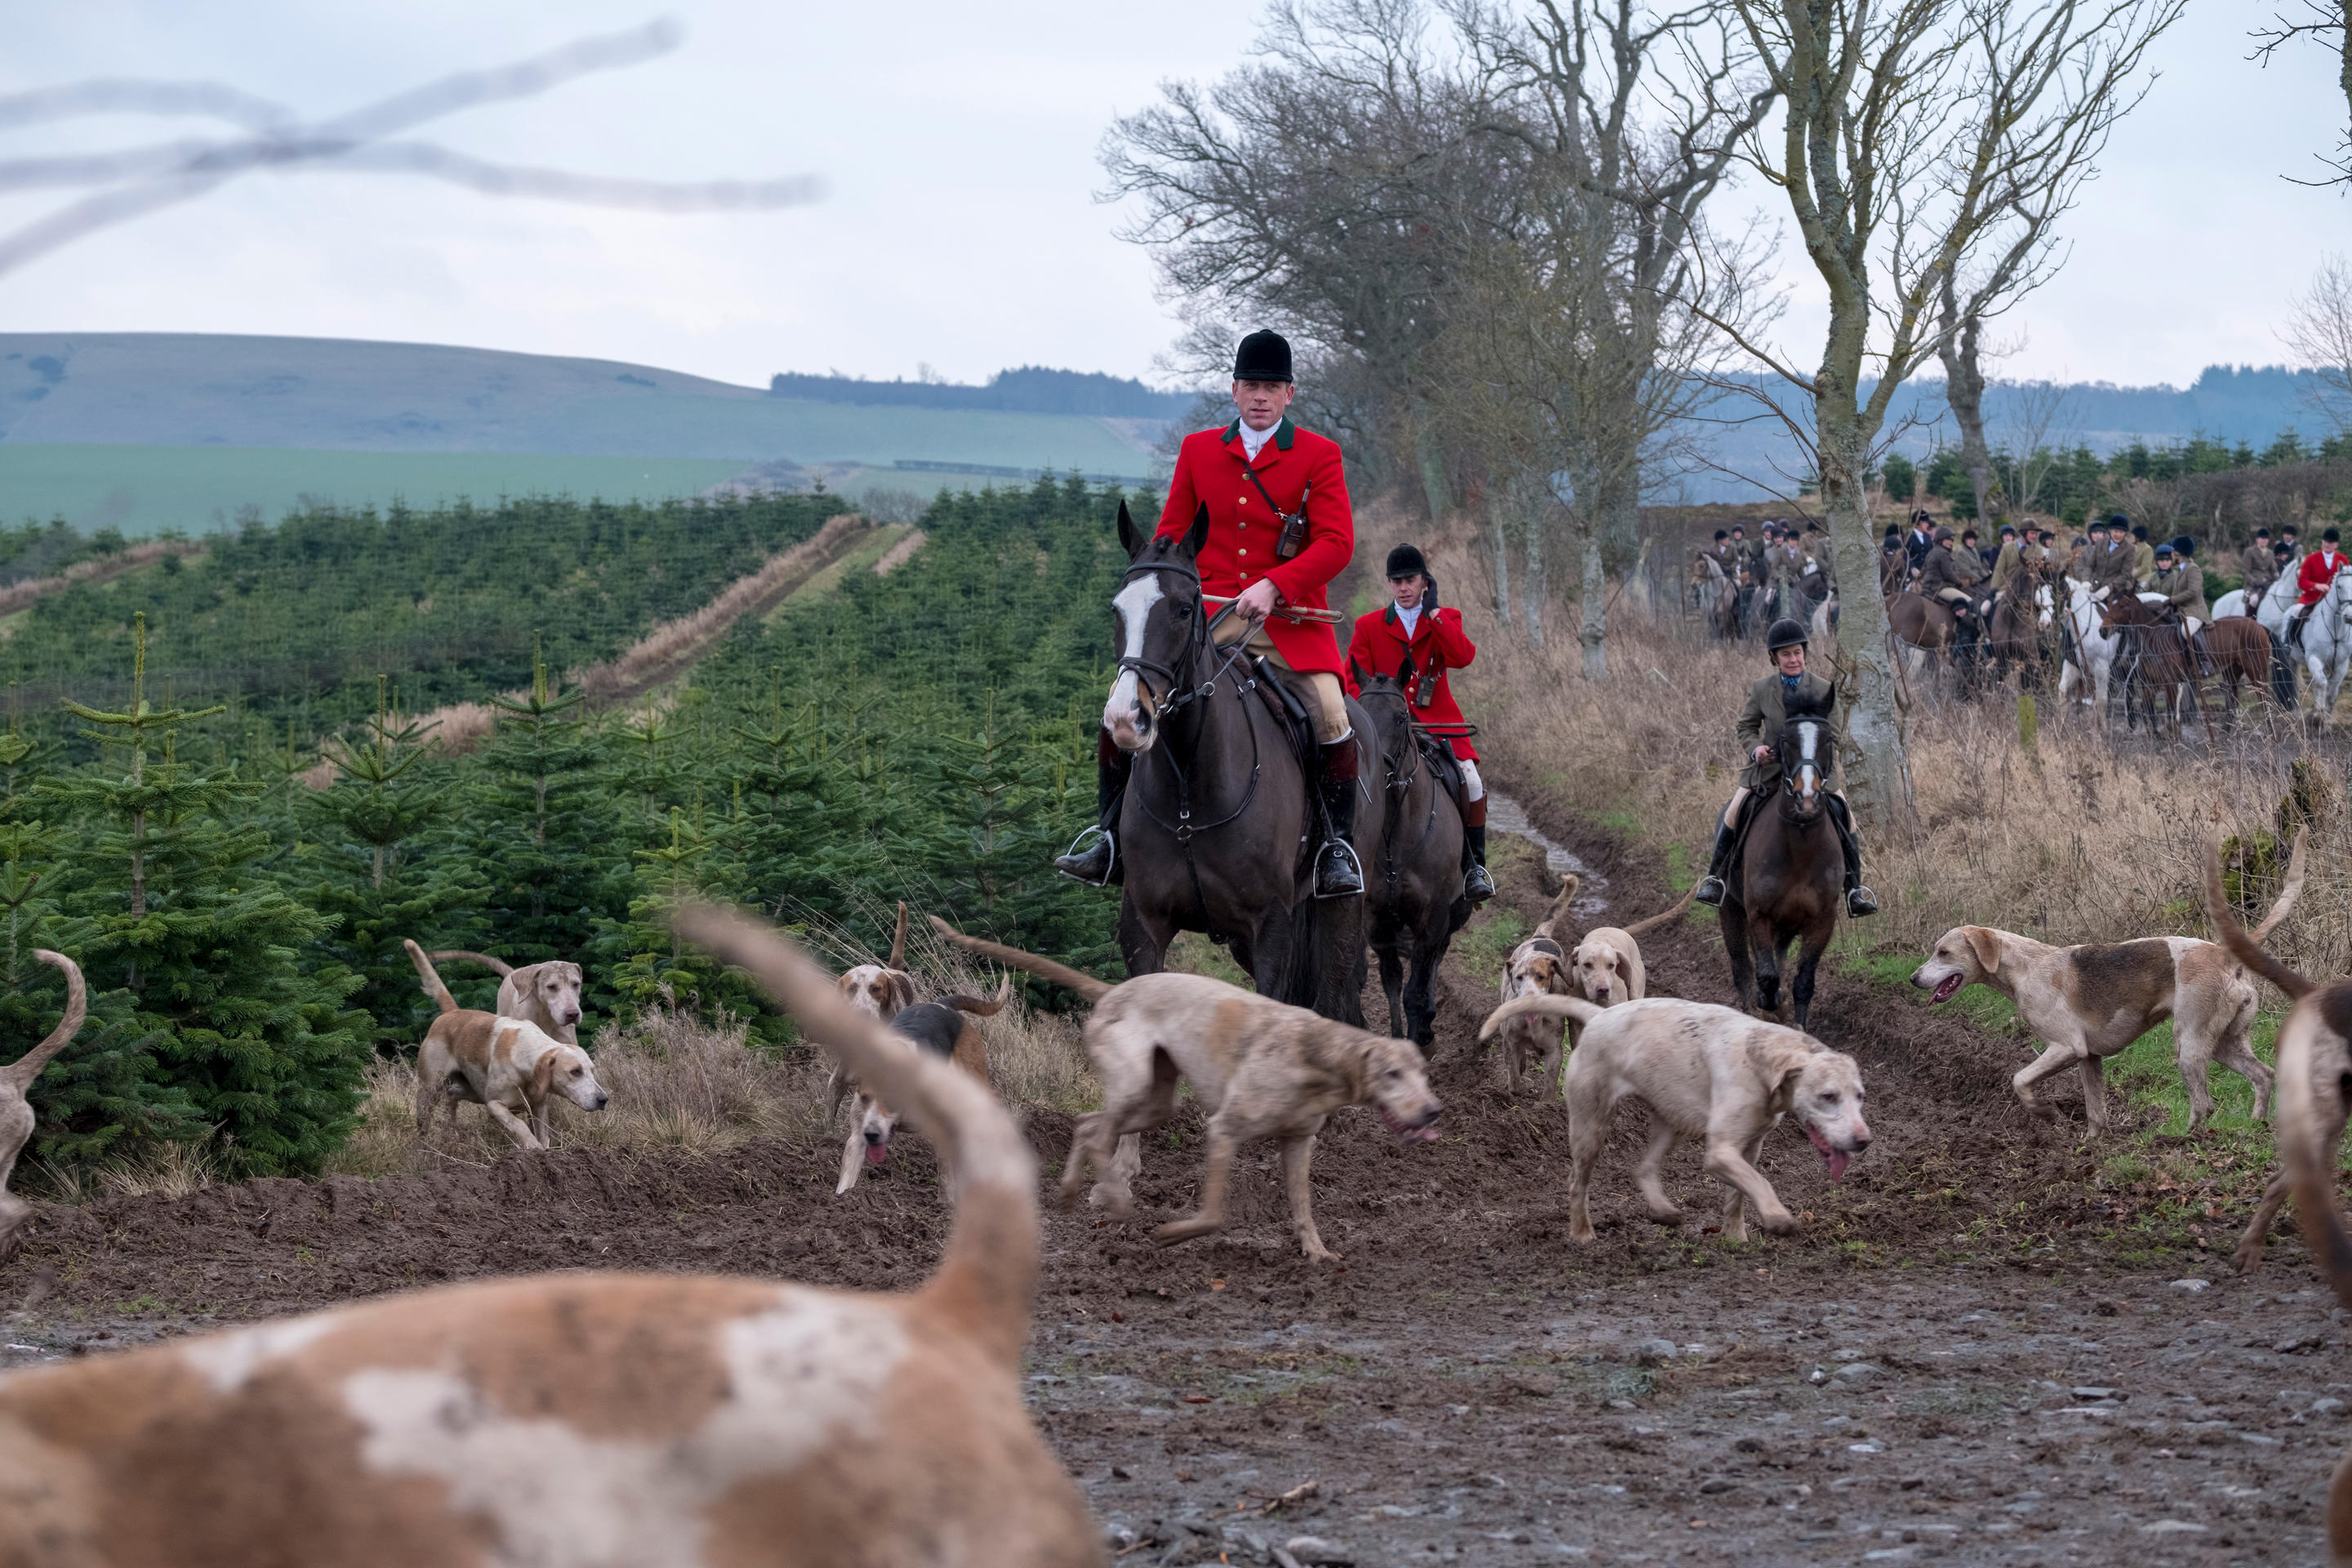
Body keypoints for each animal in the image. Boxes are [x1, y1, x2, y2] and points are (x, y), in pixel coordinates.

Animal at [1354, 667, 1458, 1048]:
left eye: (1401, 717)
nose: (1375, 771)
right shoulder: (1376, 919)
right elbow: (1391, 980)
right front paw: (1398, 1037)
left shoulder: (1434, 917)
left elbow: (1416, 985)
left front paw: (1419, 1037)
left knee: (1436, 959)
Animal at [1722, 686, 1843, 1029]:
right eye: (1786, 741)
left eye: (1828, 740)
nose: (1807, 798)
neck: (1800, 846)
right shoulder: (1759, 915)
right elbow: (1766, 976)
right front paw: (1770, 1007)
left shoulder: (1822, 921)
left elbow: (1804, 980)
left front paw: (1797, 1022)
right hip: (1731, 911)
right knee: (1742, 966)